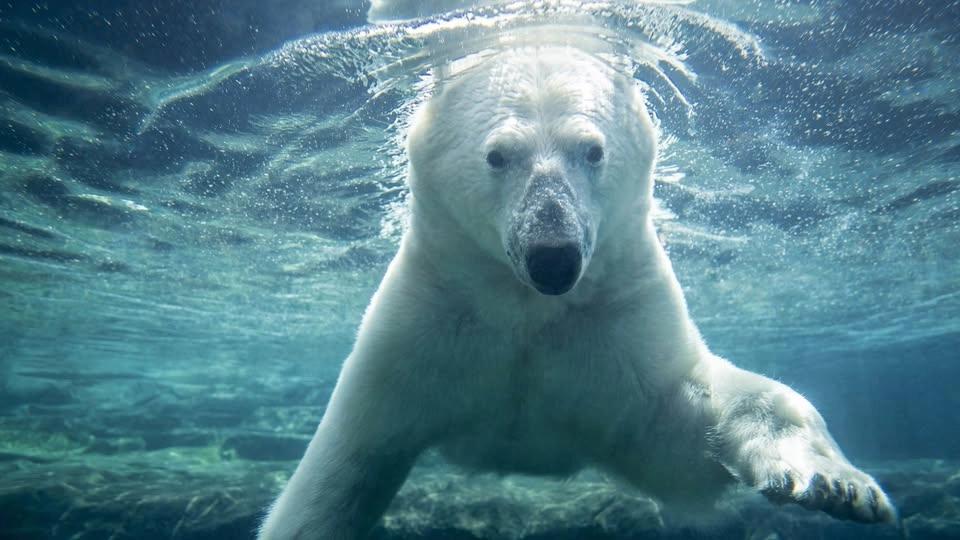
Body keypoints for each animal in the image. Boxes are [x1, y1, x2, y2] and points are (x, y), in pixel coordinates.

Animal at [258, 46, 896, 539]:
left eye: (592, 149)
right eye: (498, 155)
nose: (554, 257)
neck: (526, 308)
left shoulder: (617, 328)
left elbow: (697, 423)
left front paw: (837, 485)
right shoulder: (427, 323)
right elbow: (342, 469)